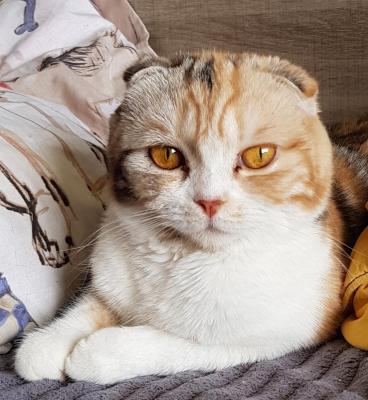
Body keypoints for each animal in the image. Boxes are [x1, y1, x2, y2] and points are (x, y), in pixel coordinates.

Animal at [14, 51, 368, 382]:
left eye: (259, 155)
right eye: (166, 156)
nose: (209, 201)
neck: (180, 259)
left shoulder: (276, 335)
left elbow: (173, 343)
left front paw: (95, 353)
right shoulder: (109, 283)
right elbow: (87, 307)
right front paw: (46, 342)